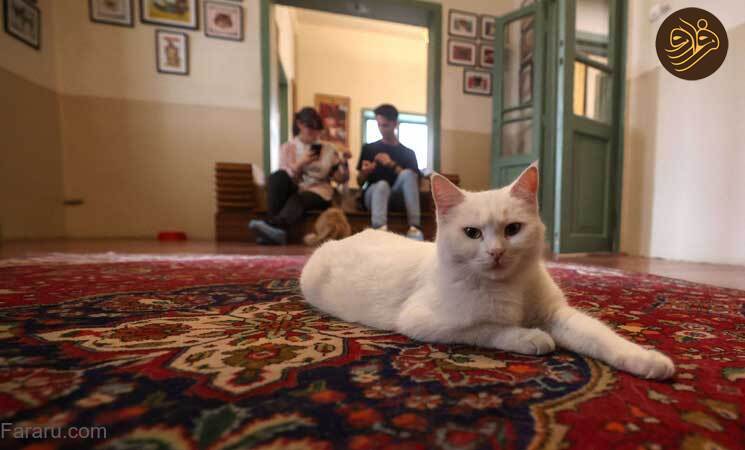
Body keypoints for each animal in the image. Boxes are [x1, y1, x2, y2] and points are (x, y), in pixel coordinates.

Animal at [301, 164, 675, 379]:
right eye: (472, 233)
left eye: (513, 229)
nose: (496, 252)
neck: (511, 286)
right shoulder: (425, 322)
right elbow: (488, 328)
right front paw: (531, 337)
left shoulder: (557, 315)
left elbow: (600, 335)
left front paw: (645, 359)